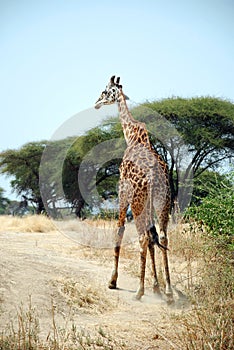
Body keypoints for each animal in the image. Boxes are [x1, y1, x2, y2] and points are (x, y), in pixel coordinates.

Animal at [94, 76, 173, 300]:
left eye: (105, 91)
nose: (96, 103)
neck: (132, 137)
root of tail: (155, 176)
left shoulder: (123, 191)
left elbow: (119, 230)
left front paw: (112, 281)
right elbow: (154, 238)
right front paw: (156, 287)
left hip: (137, 201)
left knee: (142, 237)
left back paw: (139, 291)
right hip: (162, 202)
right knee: (161, 236)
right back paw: (169, 291)